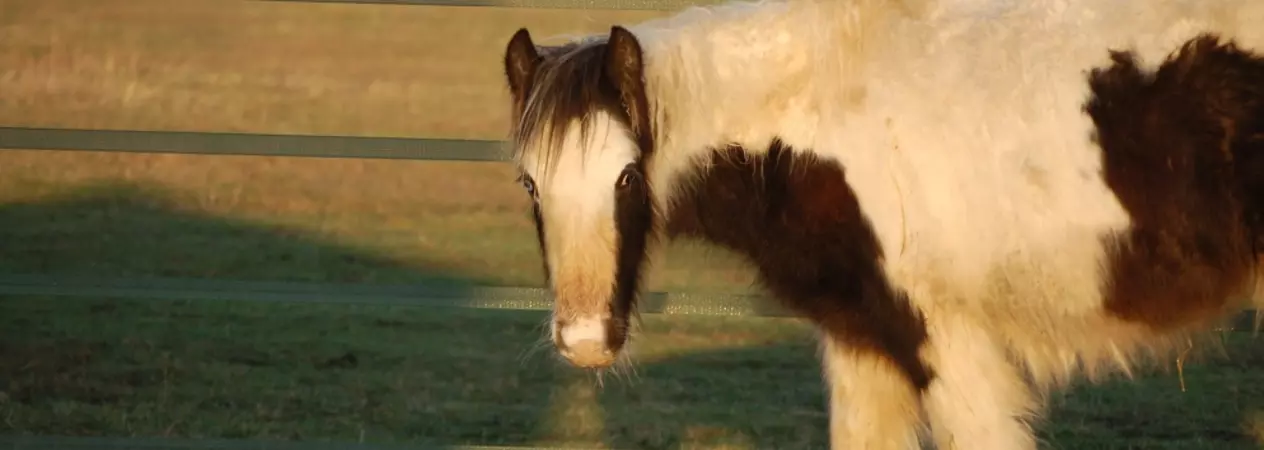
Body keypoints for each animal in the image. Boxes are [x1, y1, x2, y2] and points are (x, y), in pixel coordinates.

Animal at [498, 0, 1264, 448]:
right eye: (529, 182)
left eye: (627, 175)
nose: (585, 341)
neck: (824, 110)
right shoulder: (860, 341)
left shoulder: (948, 344)